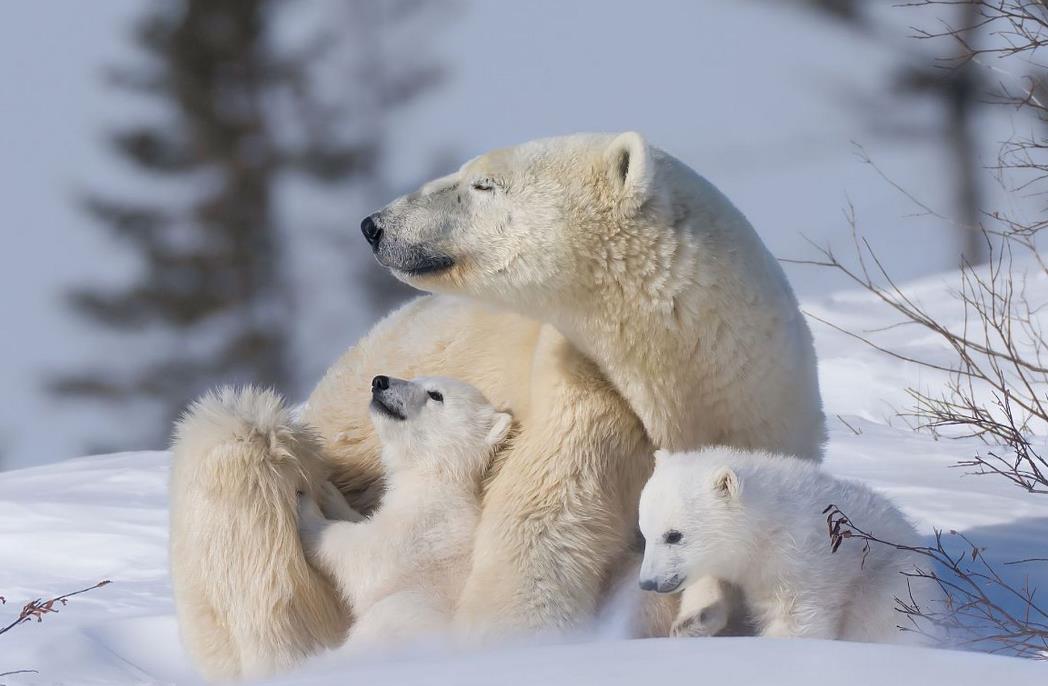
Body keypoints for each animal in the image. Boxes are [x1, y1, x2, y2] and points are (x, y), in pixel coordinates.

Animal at [295, 374, 511, 645]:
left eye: (436, 394)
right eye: (416, 378)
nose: (380, 381)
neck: (435, 476)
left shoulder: (424, 529)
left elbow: (367, 559)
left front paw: (306, 507)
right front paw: (328, 492)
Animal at [632, 448, 922, 640]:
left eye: (674, 535)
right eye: (645, 532)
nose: (648, 583)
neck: (767, 528)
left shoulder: (798, 565)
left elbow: (796, 619)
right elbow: (710, 583)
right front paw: (691, 623)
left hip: (884, 584)